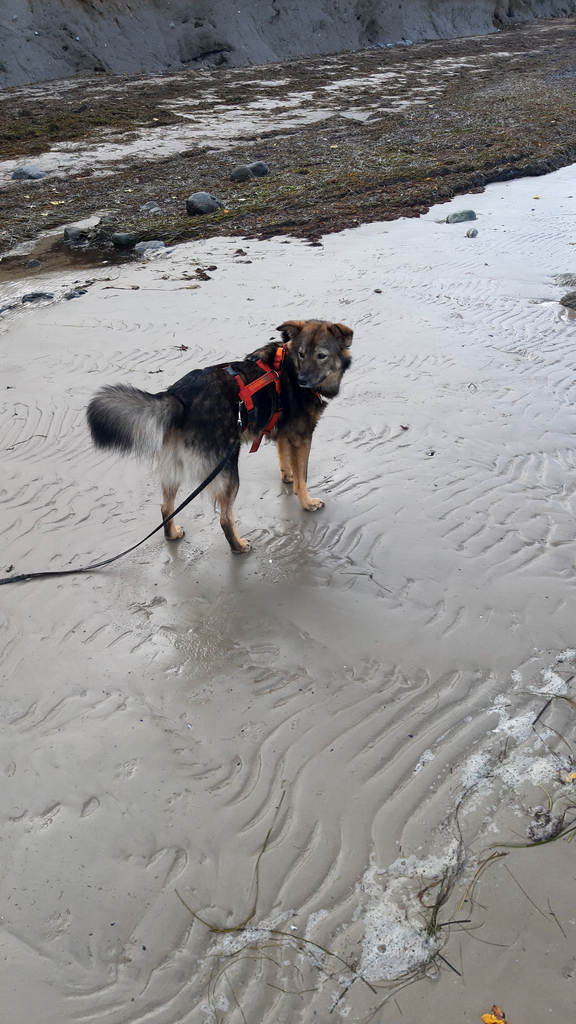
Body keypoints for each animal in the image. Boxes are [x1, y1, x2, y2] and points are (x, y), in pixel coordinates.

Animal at [87, 319, 352, 552]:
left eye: (321, 355)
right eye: (301, 354)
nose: (302, 381)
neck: (287, 366)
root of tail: (178, 397)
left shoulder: (285, 435)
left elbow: (285, 460)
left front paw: (287, 477)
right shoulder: (302, 437)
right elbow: (303, 476)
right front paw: (307, 501)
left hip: (174, 467)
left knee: (165, 507)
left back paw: (172, 534)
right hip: (227, 467)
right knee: (224, 519)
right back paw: (238, 547)